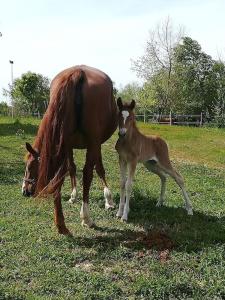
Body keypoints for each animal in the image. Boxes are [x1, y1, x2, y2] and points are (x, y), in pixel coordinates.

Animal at [22, 65, 118, 234]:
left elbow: (78, 168)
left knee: (64, 176)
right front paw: (107, 199)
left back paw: (61, 224)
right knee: (86, 174)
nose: (24, 191)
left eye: (30, 167)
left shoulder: (77, 145)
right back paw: (85, 218)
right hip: (86, 143)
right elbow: (94, 168)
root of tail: (78, 72)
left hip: (71, 143)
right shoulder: (93, 144)